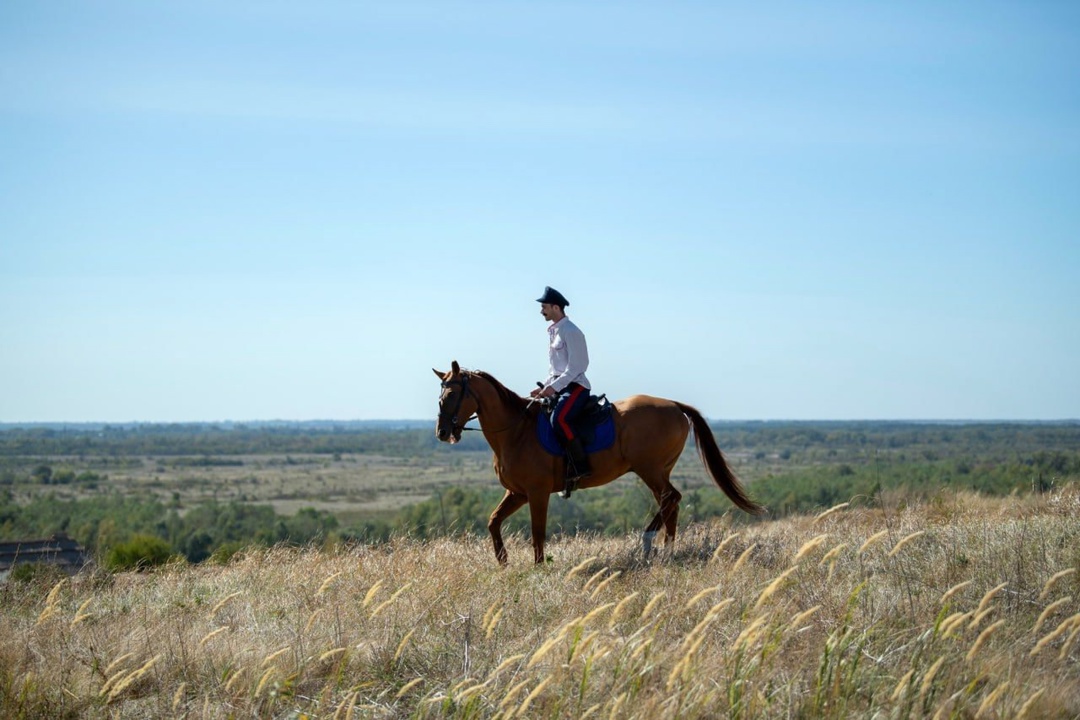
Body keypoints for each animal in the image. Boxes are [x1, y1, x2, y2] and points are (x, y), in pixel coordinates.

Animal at [434, 362, 764, 565]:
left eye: (451, 394)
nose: (443, 433)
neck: (515, 431)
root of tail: (674, 405)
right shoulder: (517, 493)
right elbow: (493, 521)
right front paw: (503, 561)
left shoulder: (537, 493)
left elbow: (537, 532)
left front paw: (538, 569)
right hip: (658, 471)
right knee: (671, 502)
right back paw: (668, 551)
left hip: (650, 469)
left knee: (672, 498)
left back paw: (648, 542)